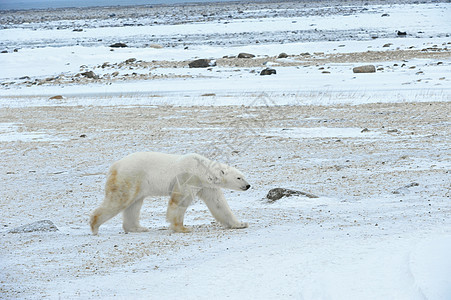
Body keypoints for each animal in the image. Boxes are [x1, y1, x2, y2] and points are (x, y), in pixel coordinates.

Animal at [88, 152, 251, 234]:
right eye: (239, 177)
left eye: (244, 176)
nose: (248, 185)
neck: (201, 169)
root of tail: (114, 166)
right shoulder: (188, 178)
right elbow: (179, 201)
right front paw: (182, 228)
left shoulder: (205, 186)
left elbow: (219, 204)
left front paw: (240, 224)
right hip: (130, 177)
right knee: (120, 200)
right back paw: (95, 226)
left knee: (134, 205)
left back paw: (137, 228)